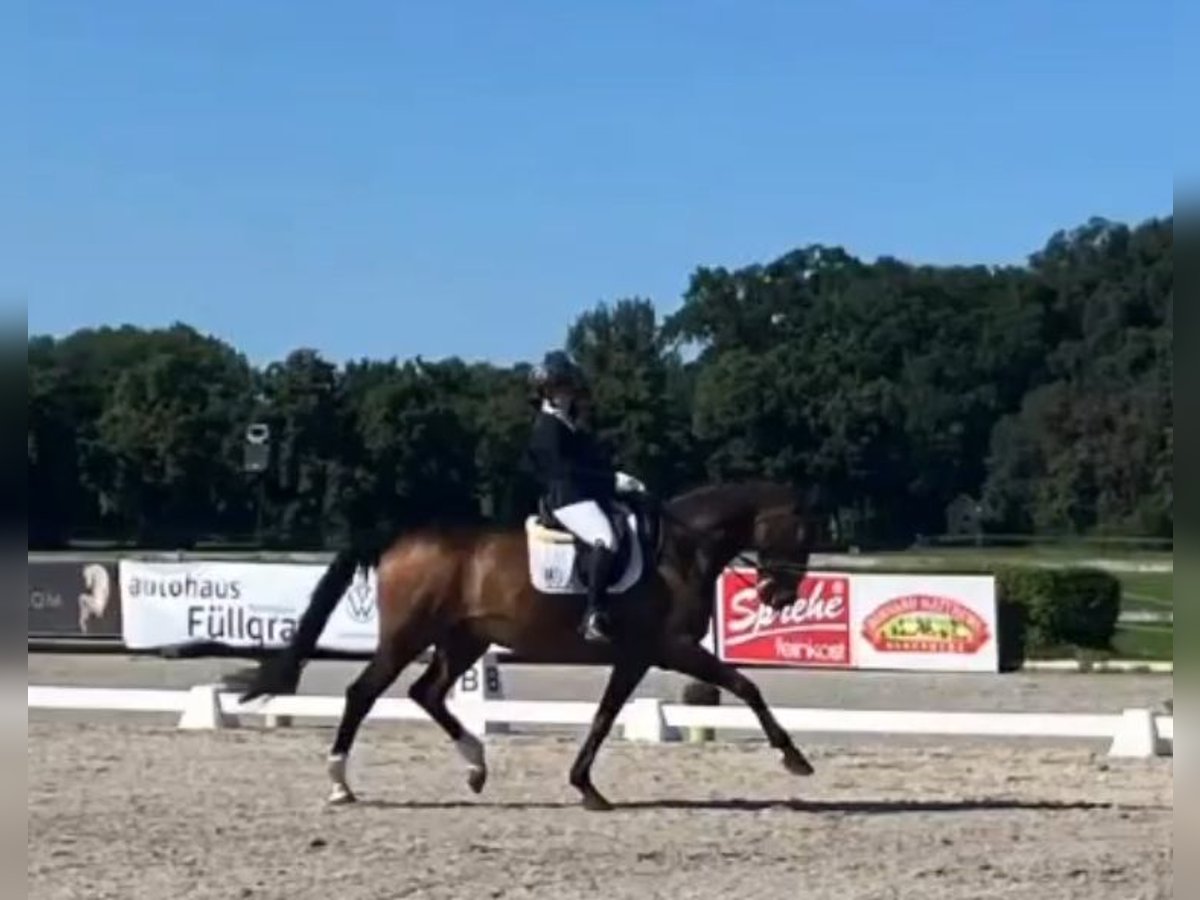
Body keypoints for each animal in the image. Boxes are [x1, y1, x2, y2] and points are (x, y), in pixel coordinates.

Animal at [240, 479, 830, 811]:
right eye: (802, 533)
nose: (780, 596)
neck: (682, 549)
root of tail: (397, 540)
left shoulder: (636, 656)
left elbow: (604, 715)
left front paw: (585, 786)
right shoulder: (671, 647)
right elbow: (745, 685)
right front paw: (795, 757)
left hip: (464, 640)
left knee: (425, 693)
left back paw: (476, 766)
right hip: (409, 635)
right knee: (362, 693)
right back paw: (340, 784)